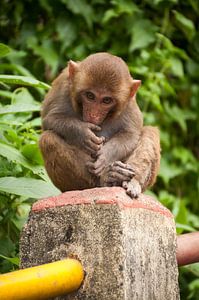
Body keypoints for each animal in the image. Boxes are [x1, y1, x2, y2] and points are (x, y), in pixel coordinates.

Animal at [39, 52, 160, 198]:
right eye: (90, 95)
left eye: (106, 100)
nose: (93, 115)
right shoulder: (63, 86)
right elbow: (50, 120)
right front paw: (82, 133)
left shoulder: (129, 102)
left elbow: (131, 134)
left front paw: (106, 155)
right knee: (48, 139)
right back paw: (105, 180)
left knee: (150, 132)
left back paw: (127, 180)